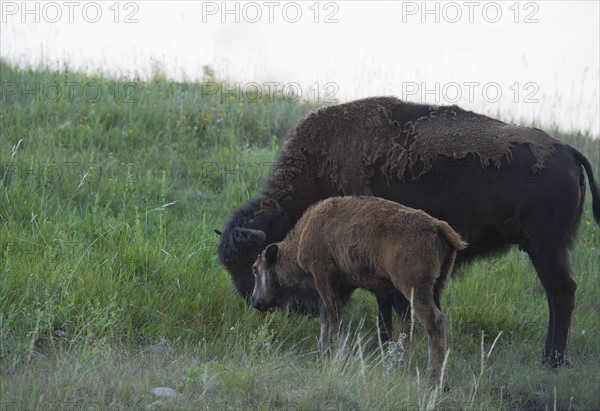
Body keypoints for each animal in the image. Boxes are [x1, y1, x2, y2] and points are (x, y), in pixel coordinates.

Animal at [251, 198, 466, 384]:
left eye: (255, 270)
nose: (254, 301)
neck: (306, 231)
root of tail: (436, 226)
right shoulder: (343, 287)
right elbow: (327, 317)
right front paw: (323, 353)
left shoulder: (324, 278)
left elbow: (335, 320)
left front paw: (339, 359)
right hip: (437, 288)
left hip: (414, 288)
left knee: (434, 321)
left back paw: (436, 380)